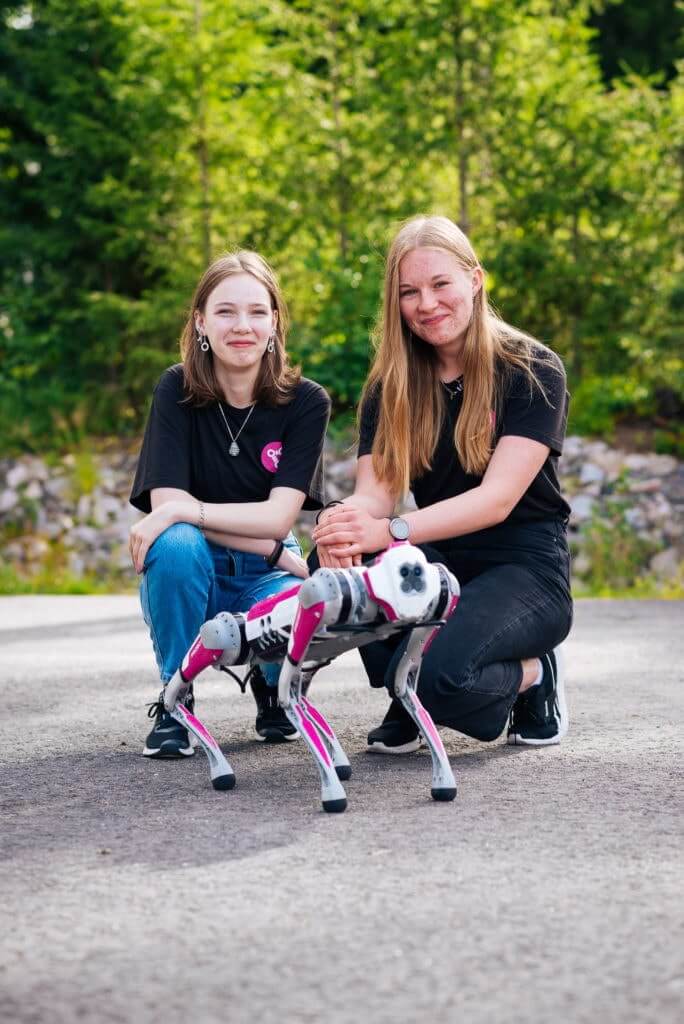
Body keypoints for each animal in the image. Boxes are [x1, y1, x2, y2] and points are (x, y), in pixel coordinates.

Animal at [161, 540, 458, 811]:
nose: (413, 573)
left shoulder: (442, 600)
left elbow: (403, 686)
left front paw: (443, 782)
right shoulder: (313, 599)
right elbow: (286, 695)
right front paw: (333, 794)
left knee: (303, 697)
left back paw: (338, 760)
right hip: (227, 638)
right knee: (202, 653)